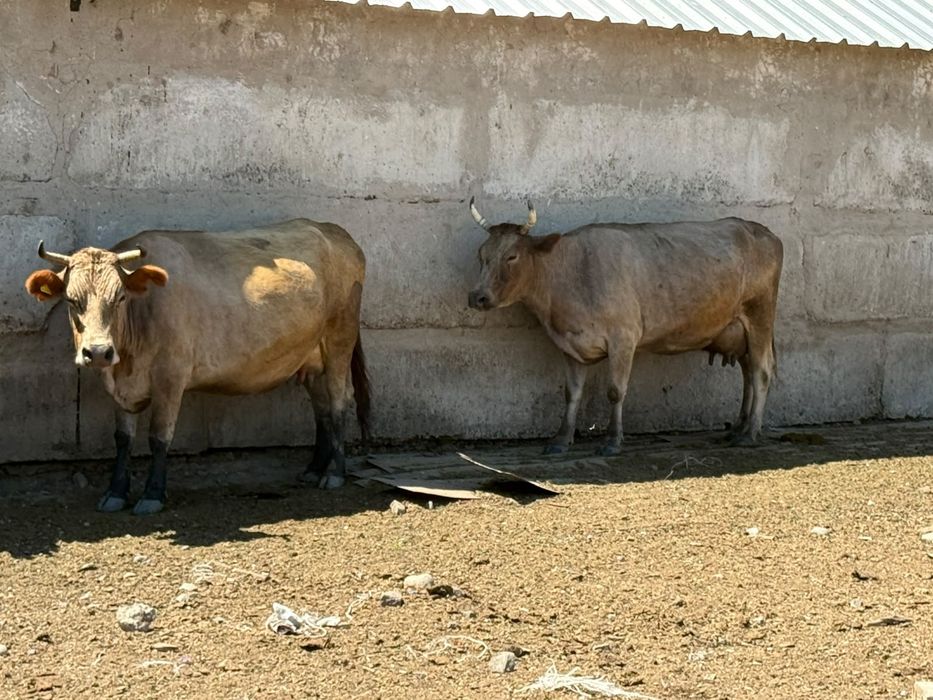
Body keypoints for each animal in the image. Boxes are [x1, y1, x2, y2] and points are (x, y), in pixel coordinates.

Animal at [24, 218, 369, 515]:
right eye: (72, 300)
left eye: (120, 297)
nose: (98, 352)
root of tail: (334, 231)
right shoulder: (121, 386)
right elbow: (122, 438)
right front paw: (116, 492)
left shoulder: (171, 377)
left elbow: (159, 436)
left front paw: (153, 494)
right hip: (310, 358)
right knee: (321, 408)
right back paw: (314, 469)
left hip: (340, 339)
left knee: (338, 401)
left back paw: (335, 474)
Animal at [466, 198, 782, 455]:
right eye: (482, 255)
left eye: (512, 256)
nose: (477, 296)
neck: (570, 274)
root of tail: (762, 230)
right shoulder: (569, 344)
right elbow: (572, 394)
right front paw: (561, 440)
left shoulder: (623, 338)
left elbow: (615, 391)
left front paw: (612, 440)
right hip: (739, 332)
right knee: (747, 373)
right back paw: (739, 428)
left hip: (760, 317)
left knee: (761, 371)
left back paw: (751, 433)